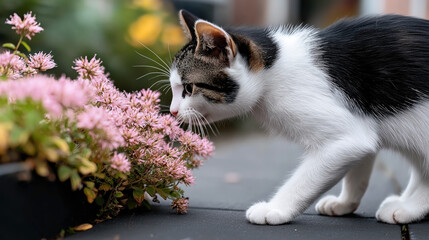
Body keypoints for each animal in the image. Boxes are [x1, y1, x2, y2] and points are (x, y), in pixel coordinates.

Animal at [167, 9, 428, 225]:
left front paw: (275, 209)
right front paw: (345, 203)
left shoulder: (346, 139)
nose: (172, 111)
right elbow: (361, 164)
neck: (272, 71)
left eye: (188, 88)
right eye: (174, 89)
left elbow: (308, 177)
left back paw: (409, 207)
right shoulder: (362, 123)